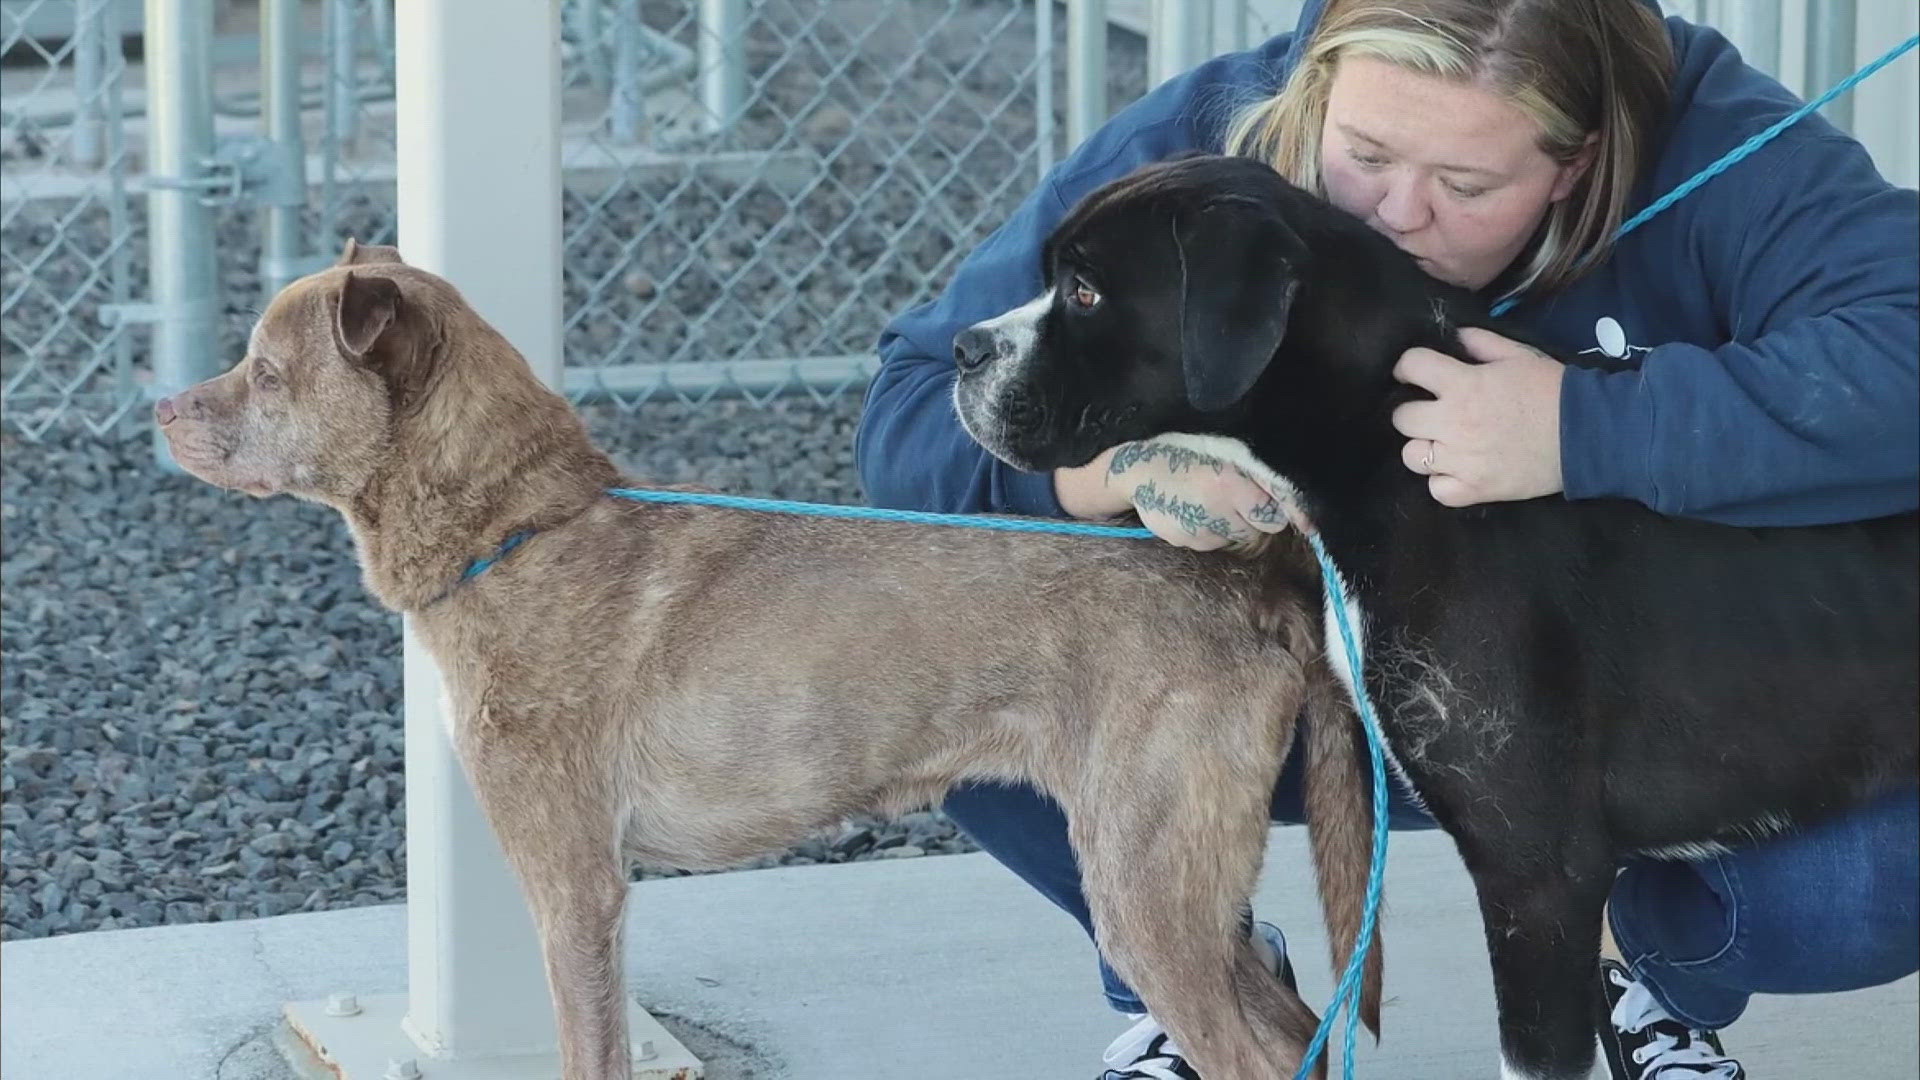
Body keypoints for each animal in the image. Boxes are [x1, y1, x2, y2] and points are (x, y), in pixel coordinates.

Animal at [149, 237, 1382, 1076]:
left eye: (266, 371)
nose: (160, 407)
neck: (524, 531)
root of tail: (1251, 575)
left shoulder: (576, 889)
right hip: (1191, 891)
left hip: (1145, 886)